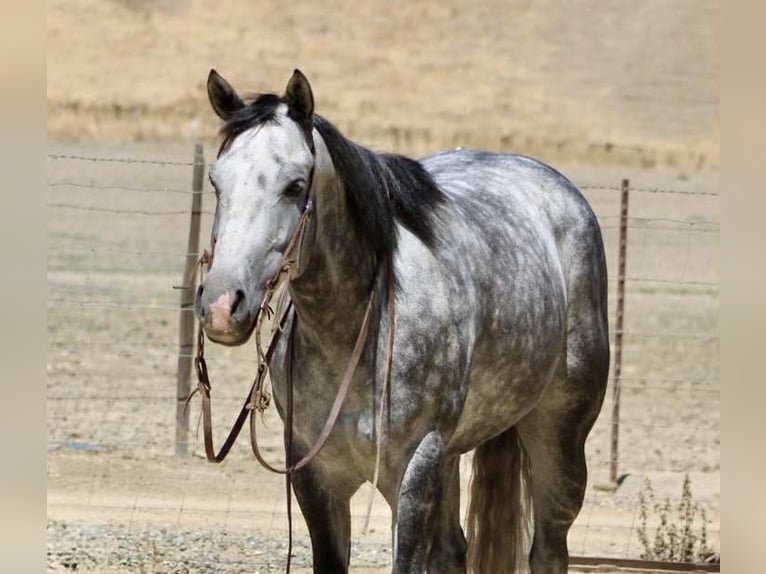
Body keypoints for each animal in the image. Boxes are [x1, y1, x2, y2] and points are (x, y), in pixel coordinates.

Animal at [194, 68, 609, 574]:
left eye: (294, 186)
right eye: (216, 182)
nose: (221, 306)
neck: (356, 333)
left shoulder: (413, 472)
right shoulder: (317, 478)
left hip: (558, 439)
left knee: (549, 548)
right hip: (451, 457)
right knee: (453, 549)